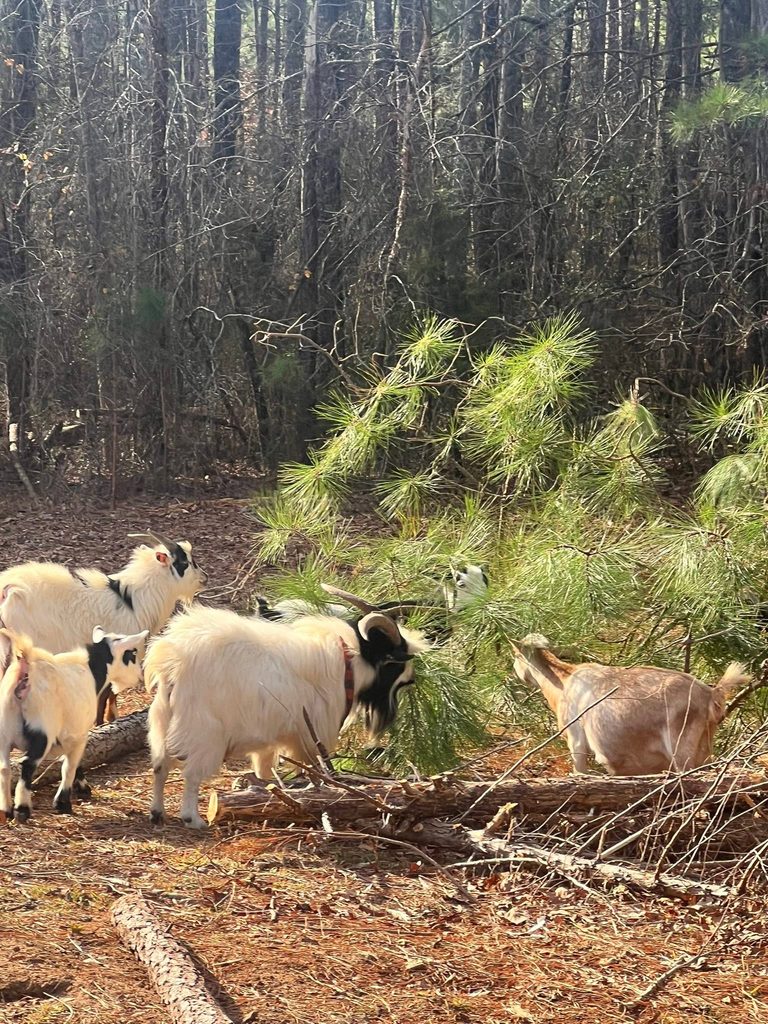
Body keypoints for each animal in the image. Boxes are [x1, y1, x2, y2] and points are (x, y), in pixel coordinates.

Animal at [0, 530, 205, 725]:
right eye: (184, 561)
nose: (205, 577)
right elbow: (108, 691)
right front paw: (105, 720)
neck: (135, 600)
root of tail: (8, 589)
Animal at [0, 625, 148, 822]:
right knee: (28, 764)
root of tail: (25, 670)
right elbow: (70, 765)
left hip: (4, 732)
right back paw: (22, 809)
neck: (91, 669)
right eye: (132, 653)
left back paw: (6, 810)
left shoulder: (68, 735)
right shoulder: (80, 733)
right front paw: (64, 803)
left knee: (4, 769)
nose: (141, 675)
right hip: (42, 730)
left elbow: (71, 762)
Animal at [146, 605, 430, 828]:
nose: (412, 677)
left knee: (160, 766)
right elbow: (312, 772)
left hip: (163, 721)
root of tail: (172, 660)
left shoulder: (270, 742)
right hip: (204, 731)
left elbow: (264, 773)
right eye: (395, 662)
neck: (346, 666)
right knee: (191, 774)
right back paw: (192, 818)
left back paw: (157, 813)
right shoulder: (308, 737)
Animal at [512, 634, 749, 775]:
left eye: (515, 656)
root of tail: (710, 694)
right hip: (702, 751)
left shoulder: (576, 741)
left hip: (682, 752)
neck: (564, 680)